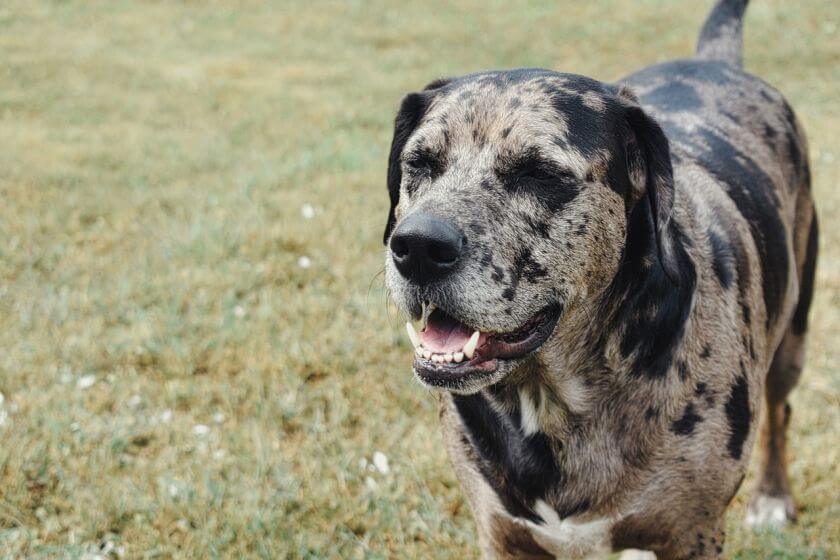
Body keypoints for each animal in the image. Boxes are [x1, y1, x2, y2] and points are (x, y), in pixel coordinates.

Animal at [384, 2, 816, 556]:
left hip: (792, 337)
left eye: (539, 172)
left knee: (781, 411)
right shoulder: (502, 536)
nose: (418, 247)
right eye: (419, 163)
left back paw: (773, 496)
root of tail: (716, 61)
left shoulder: (692, 535)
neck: (553, 399)